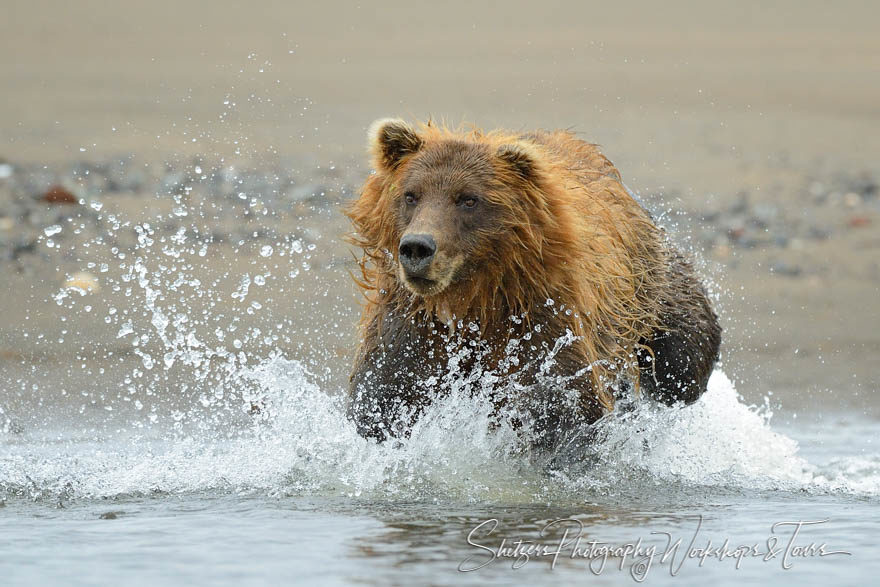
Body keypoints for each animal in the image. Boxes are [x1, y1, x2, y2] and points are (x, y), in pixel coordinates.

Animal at [344, 117, 720, 452]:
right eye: (411, 195)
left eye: (468, 199)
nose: (417, 247)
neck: (474, 299)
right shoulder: (414, 322)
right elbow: (385, 393)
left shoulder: (542, 314)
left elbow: (565, 401)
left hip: (650, 286)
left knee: (683, 358)